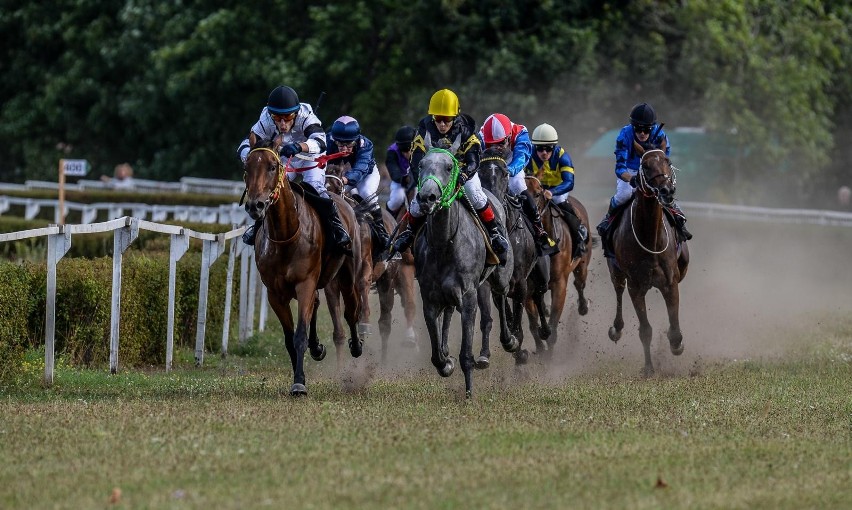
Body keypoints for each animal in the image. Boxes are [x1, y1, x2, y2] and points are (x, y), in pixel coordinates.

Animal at [243, 136, 362, 398]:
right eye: (247, 167)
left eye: (272, 166)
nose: (255, 206)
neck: (286, 235)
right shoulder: (275, 293)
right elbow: (290, 339)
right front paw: (301, 374)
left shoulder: (305, 283)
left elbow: (299, 334)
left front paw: (299, 383)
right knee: (317, 305)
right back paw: (317, 348)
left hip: (348, 274)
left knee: (351, 310)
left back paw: (357, 347)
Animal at [412, 148, 520, 398]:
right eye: (421, 165)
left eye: (449, 167)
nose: (427, 197)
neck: (444, 244)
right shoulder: (429, 298)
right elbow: (436, 353)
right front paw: (445, 362)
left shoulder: (468, 296)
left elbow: (466, 353)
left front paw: (469, 392)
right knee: (449, 313)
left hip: (499, 277)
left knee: (500, 299)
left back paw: (509, 339)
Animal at [476, 145, 548, 364]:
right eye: (479, 173)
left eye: (505, 173)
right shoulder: (494, 283)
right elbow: (502, 312)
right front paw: (510, 344)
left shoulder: (520, 282)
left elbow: (518, 320)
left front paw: (516, 344)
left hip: (539, 274)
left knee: (539, 295)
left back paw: (546, 330)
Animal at [524, 175, 588, 358]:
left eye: (538, 193)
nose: (532, 216)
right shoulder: (528, 287)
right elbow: (533, 325)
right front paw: (540, 350)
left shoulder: (559, 284)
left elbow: (552, 325)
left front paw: (549, 358)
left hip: (582, 263)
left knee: (579, 283)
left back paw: (583, 306)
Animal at [608, 139, 688, 374]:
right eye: (645, 166)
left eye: (668, 161)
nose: (667, 190)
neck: (649, 237)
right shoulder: (636, 286)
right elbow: (645, 330)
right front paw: (649, 369)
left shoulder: (670, 283)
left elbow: (674, 326)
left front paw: (676, 344)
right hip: (616, 272)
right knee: (618, 291)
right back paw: (616, 329)